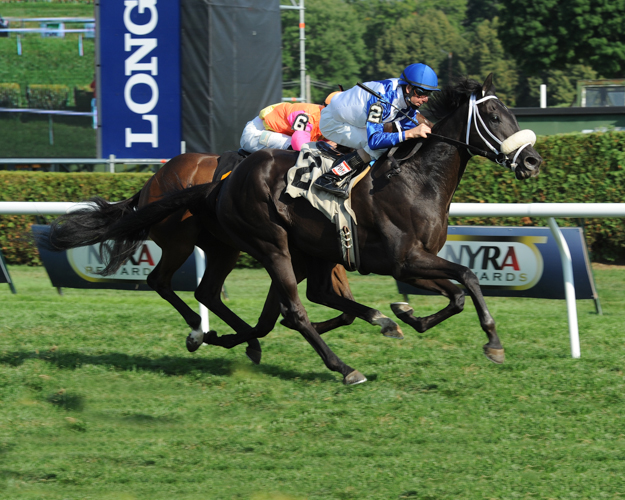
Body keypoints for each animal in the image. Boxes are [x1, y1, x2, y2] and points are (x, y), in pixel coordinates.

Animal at [54, 76, 540, 384]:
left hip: (251, 248)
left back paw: (231, 337)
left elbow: (456, 292)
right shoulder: (404, 259)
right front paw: (492, 341)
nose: (533, 161)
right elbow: (469, 278)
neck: (414, 179)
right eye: (495, 117)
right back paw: (340, 367)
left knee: (225, 294)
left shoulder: (404, 262)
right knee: (281, 307)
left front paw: (406, 315)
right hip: (258, 244)